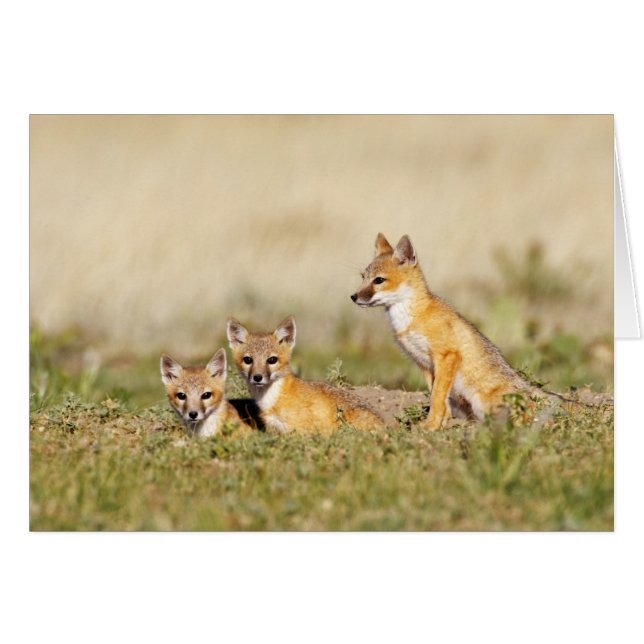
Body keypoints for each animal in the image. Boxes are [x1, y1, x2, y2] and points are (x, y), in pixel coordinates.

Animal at [351, 233, 535, 430]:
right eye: (363, 277)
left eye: (378, 280)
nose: (353, 297)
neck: (411, 318)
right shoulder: (423, 363)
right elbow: (438, 396)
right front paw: (440, 424)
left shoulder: (447, 355)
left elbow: (437, 396)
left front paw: (430, 426)